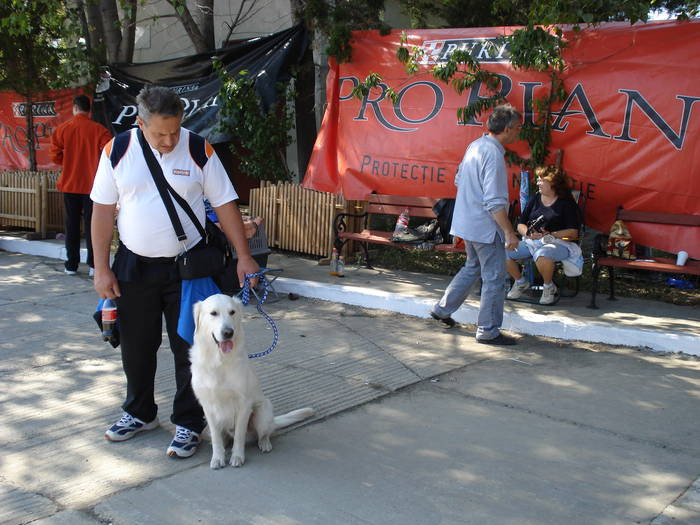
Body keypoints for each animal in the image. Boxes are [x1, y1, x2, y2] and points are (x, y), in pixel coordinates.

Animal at [190, 292, 314, 468]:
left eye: (232, 312)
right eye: (213, 313)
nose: (228, 332)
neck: (220, 361)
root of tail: (273, 420)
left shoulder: (244, 404)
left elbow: (239, 435)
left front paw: (237, 456)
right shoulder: (208, 406)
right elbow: (216, 438)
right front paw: (218, 457)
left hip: (262, 412)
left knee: (263, 433)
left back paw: (265, 443)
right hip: (206, 429)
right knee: (221, 437)